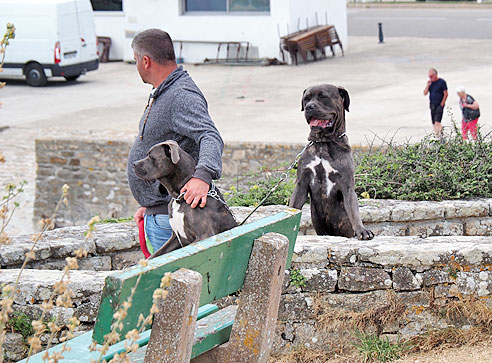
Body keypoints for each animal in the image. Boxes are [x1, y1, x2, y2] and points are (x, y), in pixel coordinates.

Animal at [288, 84, 372, 240]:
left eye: (323, 97)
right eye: (306, 99)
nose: (309, 107)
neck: (324, 142)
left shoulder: (347, 186)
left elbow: (354, 211)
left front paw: (362, 230)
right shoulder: (302, 184)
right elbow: (294, 206)